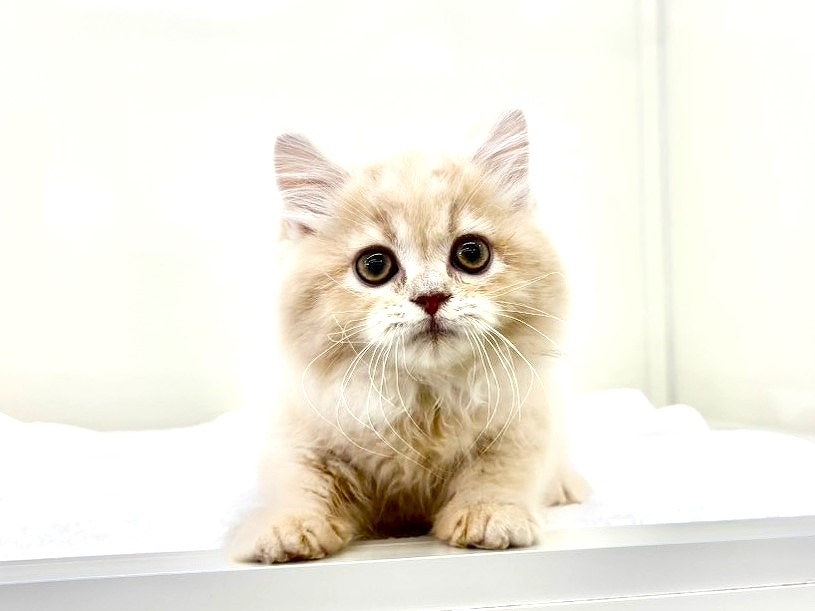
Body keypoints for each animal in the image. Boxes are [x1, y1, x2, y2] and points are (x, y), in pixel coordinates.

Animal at [229, 110, 588, 563]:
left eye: (472, 254)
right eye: (375, 266)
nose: (431, 297)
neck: (420, 400)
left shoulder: (523, 423)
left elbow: (498, 473)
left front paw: (490, 517)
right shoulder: (299, 436)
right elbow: (299, 484)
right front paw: (287, 530)